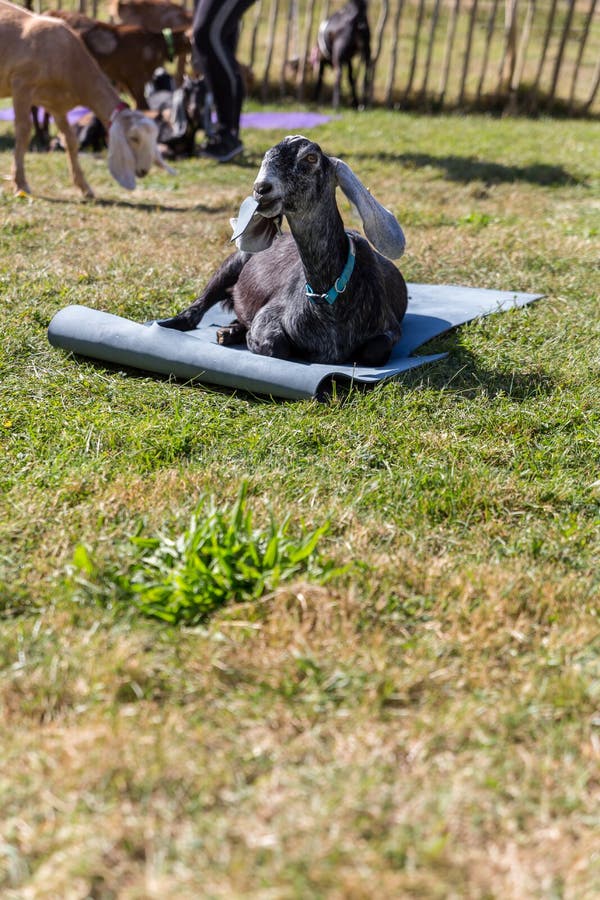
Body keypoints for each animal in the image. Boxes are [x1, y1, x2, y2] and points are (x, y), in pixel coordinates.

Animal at [0, 0, 169, 196]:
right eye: (134, 138)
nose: (143, 171)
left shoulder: (56, 105)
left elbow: (71, 140)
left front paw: (84, 187)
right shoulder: (21, 86)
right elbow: (23, 132)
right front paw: (20, 183)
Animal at [159, 135, 408, 368]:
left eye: (311, 157)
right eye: (266, 157)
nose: (261, 189)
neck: (328, 297)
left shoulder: (390, 327)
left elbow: (374, 351)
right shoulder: (268, 316)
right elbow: (276, 346)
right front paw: (249, 336)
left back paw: (229, 331)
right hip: (232, 263)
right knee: (196, 309)